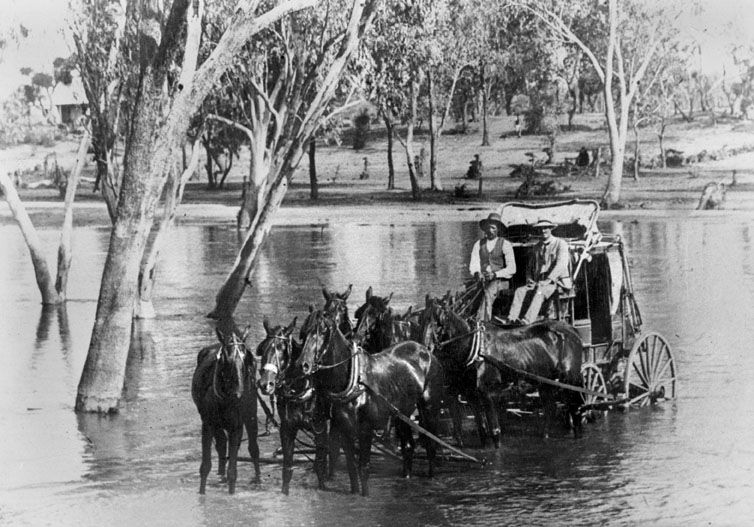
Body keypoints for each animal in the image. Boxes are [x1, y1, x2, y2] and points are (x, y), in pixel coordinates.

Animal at [191, 326, 262, 496]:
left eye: (247, 359)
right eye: (226, 360)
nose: (239, 394)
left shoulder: (236, 426)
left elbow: (233, 471)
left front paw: (231, 492)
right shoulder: (208, 423)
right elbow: (205, 466)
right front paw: (202, 494)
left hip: (250, 415)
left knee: (253, 448)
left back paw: (258, 479)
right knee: (222, 444)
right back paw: (220, 475)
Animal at [298, 308, 444, 498]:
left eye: (322, 331)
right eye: (304, 332)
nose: (303, 365)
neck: (354, 382)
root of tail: (427, 352)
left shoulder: (365, 429)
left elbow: (364, 467)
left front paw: (365, 495)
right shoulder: (344, 429)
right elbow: (352, 467)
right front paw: (354, 492)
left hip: (429, 408)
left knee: (431, 445)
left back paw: (431, 478)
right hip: (402, 414)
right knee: (408, 446)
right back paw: (406, 477)